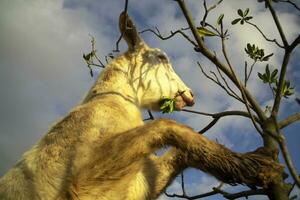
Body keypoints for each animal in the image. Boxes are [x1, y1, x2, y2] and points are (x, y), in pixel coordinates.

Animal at [0, 12, 282, 200]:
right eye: (162, 57)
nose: (190, 95)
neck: (111, 104)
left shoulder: (133, 186)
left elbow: (181, 152)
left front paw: (254, 165)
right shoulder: (77, 186)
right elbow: (168, 126)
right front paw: (259, 165)